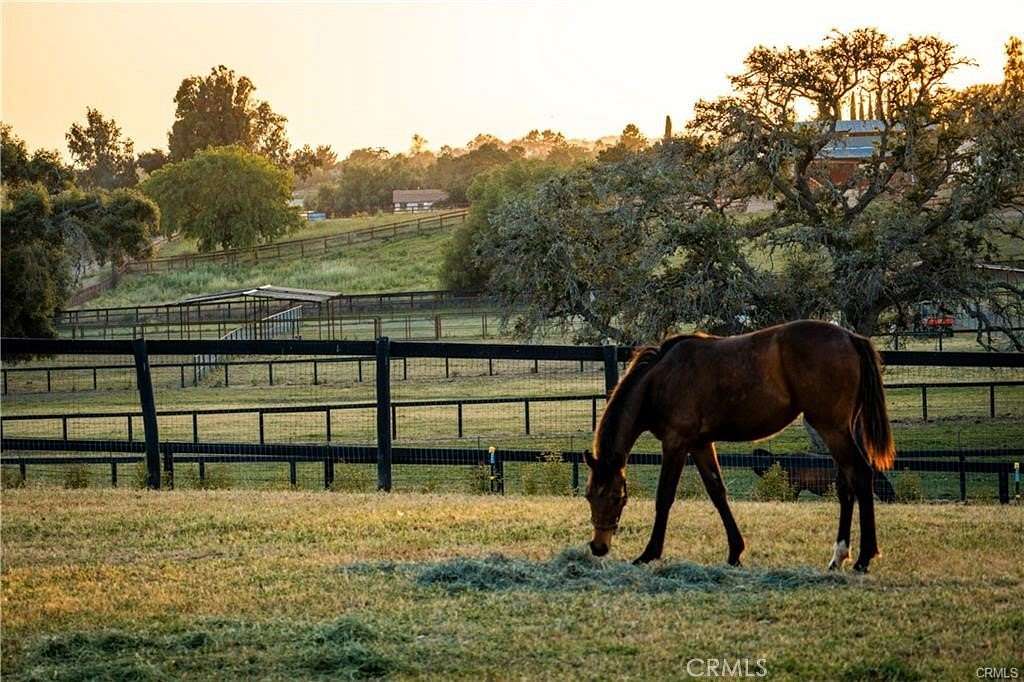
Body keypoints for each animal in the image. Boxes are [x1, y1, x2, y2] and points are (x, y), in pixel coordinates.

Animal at [585, 317, 897, 569]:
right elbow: (718, 493)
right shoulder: (700, 444)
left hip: (832, 429)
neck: (660, 379)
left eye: (616, 497)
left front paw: (649, 553)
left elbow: (664, 497)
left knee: (861, 475)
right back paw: (839, 556)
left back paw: (864, 558)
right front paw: (735, 552)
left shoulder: (676, 443)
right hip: (844, 430)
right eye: (589, 496)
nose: (599, 546)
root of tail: (851, 338)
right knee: (847, 484)